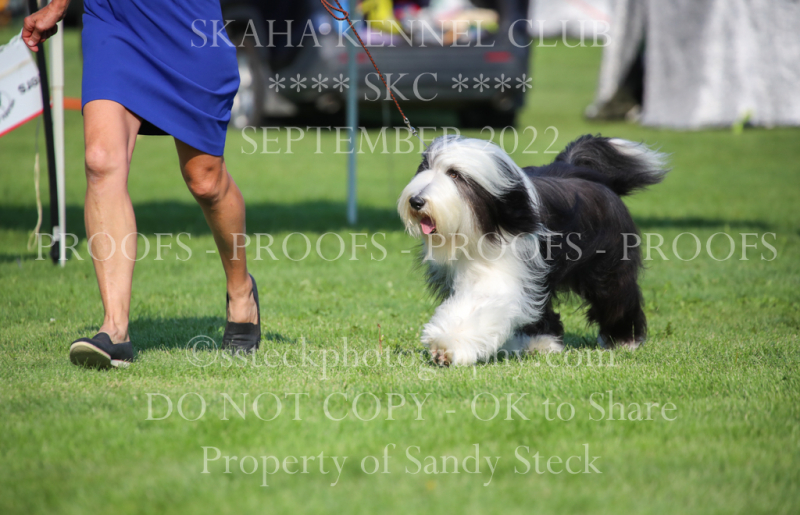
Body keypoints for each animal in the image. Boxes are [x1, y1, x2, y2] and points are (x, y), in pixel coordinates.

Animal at [397, 134, 669, 366]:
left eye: (454, 174)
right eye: (425, 167)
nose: (416, 201)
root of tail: (588, 175)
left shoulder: (505, 270)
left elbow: (480, 304)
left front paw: (447, 346)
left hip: (607, 267)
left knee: (616, 297)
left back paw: (625, 339)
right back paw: (541, 342)